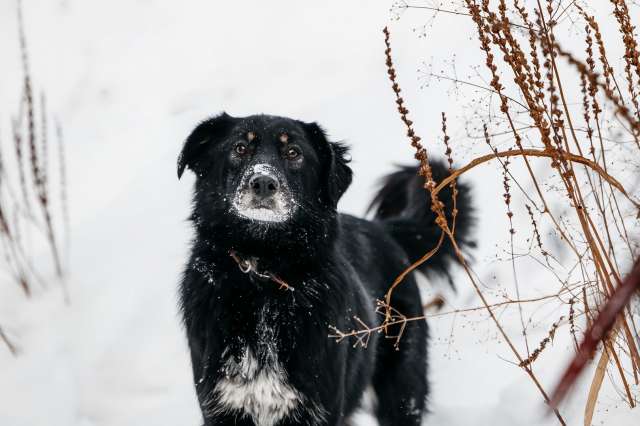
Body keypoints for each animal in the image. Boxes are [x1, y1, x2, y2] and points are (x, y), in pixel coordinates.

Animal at [178, 113, 472, 426]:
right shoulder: (222, 407)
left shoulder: (319, 407)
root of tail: (383, 230)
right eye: (240, 148)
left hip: (402, 392)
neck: (265, 277)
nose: (263, 182)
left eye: (293, 152)